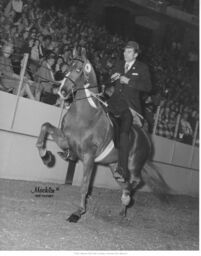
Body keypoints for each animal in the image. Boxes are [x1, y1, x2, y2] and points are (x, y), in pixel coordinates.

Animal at [36, 47, 170, 222]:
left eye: (78, 69)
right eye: (67, 67)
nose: (62, 91)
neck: (85, 115)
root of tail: (146, 136)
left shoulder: (89, 156)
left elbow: (85, 184)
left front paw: (78, 212)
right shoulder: (66, 141)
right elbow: (45, 127)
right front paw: (46, 157)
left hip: (134, 164)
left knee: (134, 180)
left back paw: (126, 197)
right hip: (114, 166)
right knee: (124, 182)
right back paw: (123, 209)